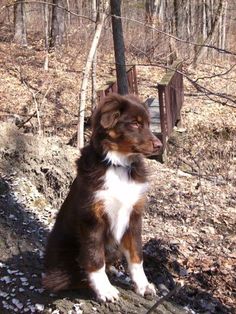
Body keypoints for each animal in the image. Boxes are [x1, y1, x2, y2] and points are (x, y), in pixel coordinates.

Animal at [42, 92, 162, 302]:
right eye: (135, 124)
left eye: (148, 124)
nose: (159, 146)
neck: (118, 164)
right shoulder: (92, 217)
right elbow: (94, 256)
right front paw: (105, 289)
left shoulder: (134, 215)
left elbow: (136, 255)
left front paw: (143, 285)